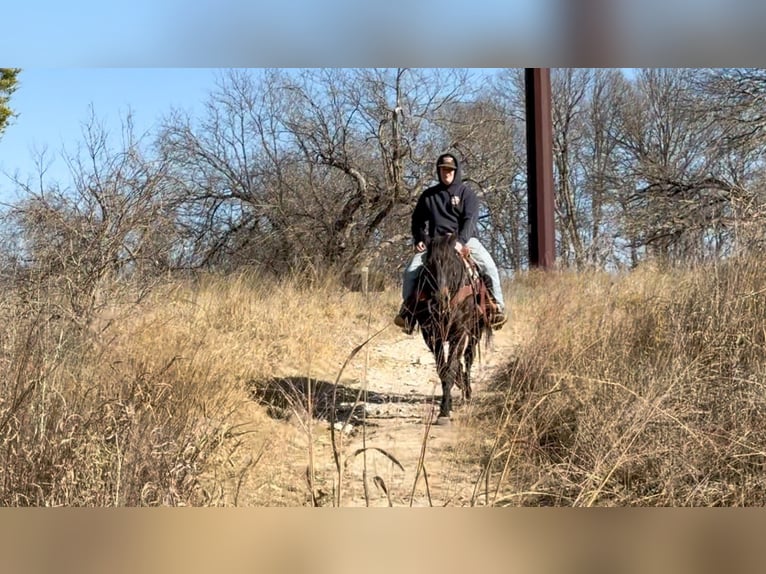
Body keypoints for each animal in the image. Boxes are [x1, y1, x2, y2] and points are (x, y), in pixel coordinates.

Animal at [410, 234, 495, 424]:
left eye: (452, 263)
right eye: (429, 264)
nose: (440, 299)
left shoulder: (460, 333)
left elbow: (451, 368)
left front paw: (444, 411)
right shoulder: (432, 336)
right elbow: (443, 369)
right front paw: (445, 407)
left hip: (475, 332)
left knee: (468, 358)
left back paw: (467, 393)